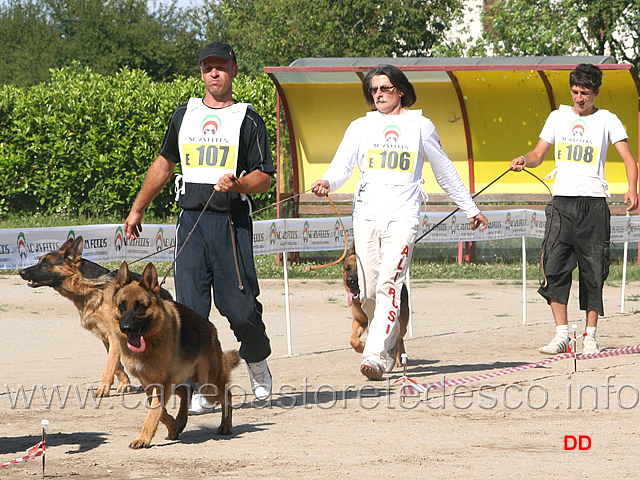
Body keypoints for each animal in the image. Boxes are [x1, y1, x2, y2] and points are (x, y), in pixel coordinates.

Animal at [112, 260, 240, 448]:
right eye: (122, 306)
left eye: (140, 306)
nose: (125, 328)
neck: (151, 341)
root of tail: (210, 327)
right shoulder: (149, 383)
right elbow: (156, 407)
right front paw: (172, 426)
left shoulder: (163, 383)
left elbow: (155, 410)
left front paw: (143, 438)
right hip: (184, 379)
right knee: (186, 391)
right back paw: (180, 421)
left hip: (208, 385)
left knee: (226, 394)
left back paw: (225, 425)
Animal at [344, 242, 410, 370]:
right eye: (347, 269)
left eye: (359, 271)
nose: (349, 280)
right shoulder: (359, 321)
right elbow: (353, 340)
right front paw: (362, 347)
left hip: (402, 324)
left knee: (398, 338)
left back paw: (397, 359)